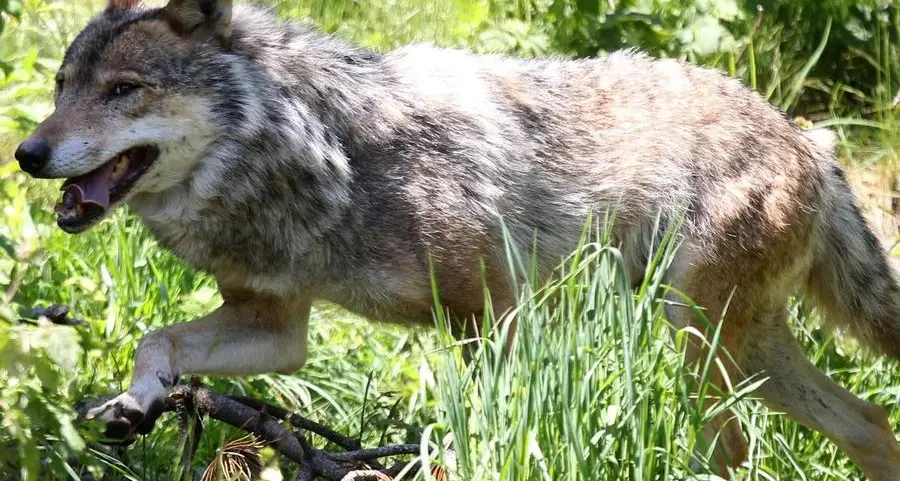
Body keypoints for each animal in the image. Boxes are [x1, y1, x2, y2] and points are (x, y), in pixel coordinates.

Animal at [13, 0, 900, 478]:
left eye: (124, 91)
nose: (27, 153)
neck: (328, 156)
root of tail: (810, 143)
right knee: (868, 422)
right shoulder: (279, 328)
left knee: (740, 446)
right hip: (741, 350)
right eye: (61, 87)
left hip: (700, 346)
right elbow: (155, 341)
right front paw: (135, 403)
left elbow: (483, 433)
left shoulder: (496, 317)